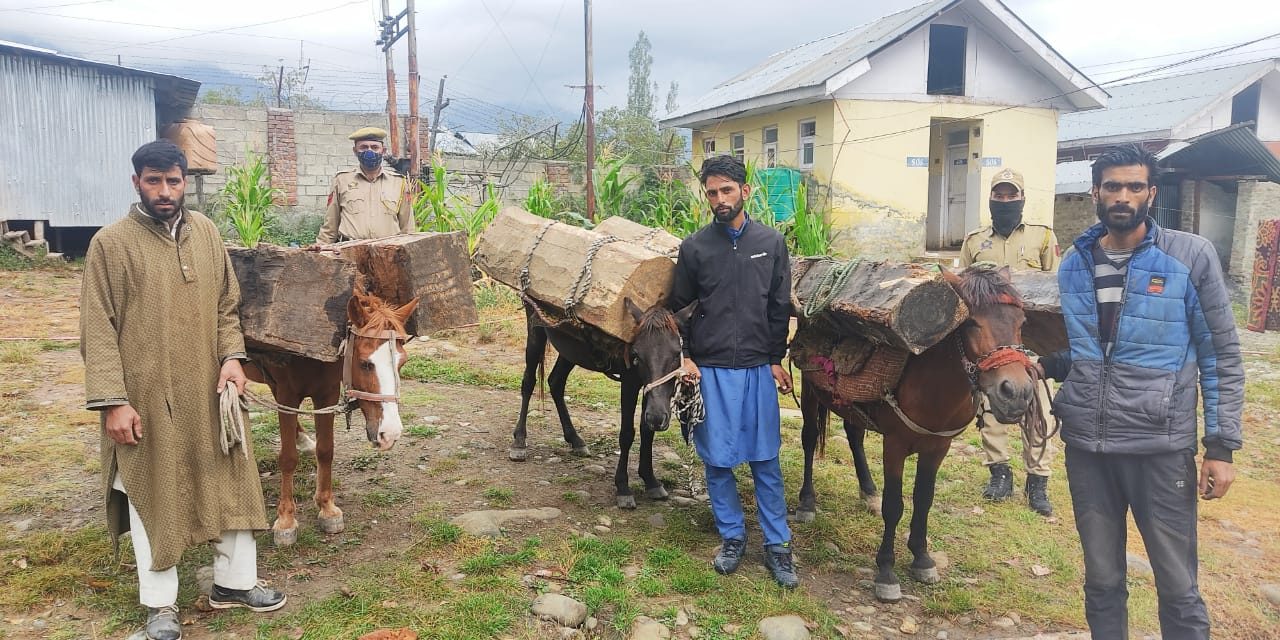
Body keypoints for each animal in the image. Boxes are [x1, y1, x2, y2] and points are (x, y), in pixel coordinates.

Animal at [244, 286, 420, 545]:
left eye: (402, 363)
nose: (390, 433)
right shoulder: (286, 395)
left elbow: (326, 450)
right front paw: (286, 519)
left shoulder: (326, 393)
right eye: (365, 364)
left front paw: (326, 507)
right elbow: (288, 458)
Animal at [509, 298, 694, 509]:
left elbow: (647, 431)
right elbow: (627, 434)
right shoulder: (630, 382)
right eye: (637, 355)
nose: (657, 418)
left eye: (677, 354)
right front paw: (623, 487)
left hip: (570, 348)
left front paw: (651, 480)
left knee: (556, 383)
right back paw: (519, 441)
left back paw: (575, 440)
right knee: (528, 382)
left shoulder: (650, 393)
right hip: (535, 330)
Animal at [795, 265, 1040, 602]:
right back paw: (807, 503)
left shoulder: (938, 447)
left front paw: (922, 558)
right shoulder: (895, 445)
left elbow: (924, 499)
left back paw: (868, 491)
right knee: (809, 439)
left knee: (853, 435)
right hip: (810, 392)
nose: (1016, 393)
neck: (932, 386)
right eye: (971, 323)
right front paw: (886, 571)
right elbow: (894, 505)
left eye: (1022, 322)